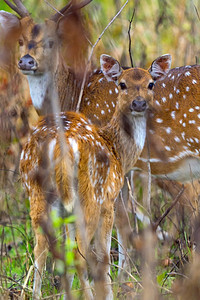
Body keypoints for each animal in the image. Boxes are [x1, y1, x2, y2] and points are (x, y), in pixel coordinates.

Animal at [19, 54, 170, 300]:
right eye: (122, 84)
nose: (139, 104)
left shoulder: (67, 210)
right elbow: (104, 254)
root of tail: (58, 145)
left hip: (37, 190)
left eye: (151, 84)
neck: (119, 152)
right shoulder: (109, 199)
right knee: (81, 252)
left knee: (40, 247)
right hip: (90, 194)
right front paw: (109, 292)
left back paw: (35, 294)